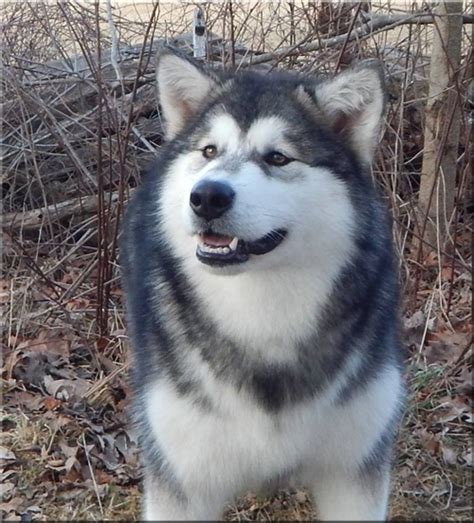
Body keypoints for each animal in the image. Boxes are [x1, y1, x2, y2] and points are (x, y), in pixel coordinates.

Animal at [119, 47, 404, 520]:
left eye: (278, 158)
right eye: (209, 150)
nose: (207, 196)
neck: (263, 312)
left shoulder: (353, 473)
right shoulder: (183, 480)